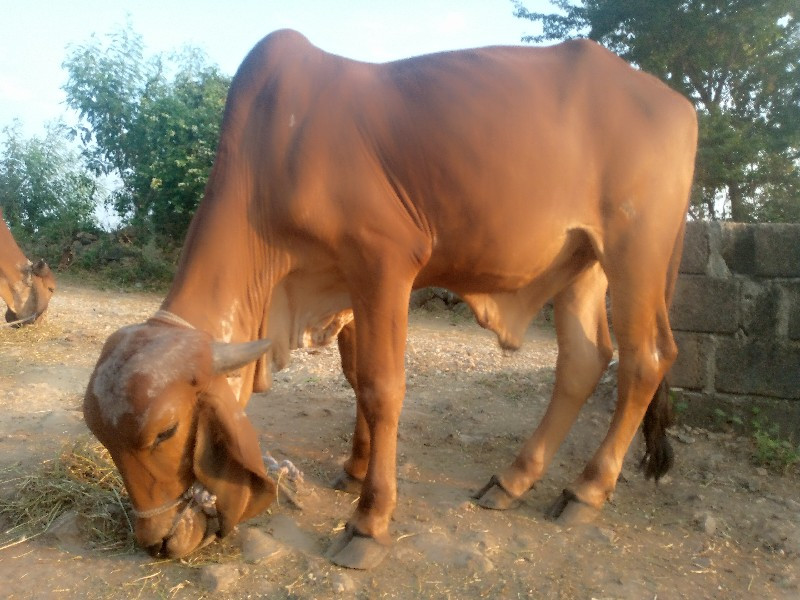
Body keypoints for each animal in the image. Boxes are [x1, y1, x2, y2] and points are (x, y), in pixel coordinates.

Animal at [83, 31, 692, 568]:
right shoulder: (346, 285)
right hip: (581, 262)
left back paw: (586, 490)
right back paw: (514, 480)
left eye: (165, 432)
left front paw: (368, 521)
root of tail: (679, 104)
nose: (157, 540)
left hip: (634, 250)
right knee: (584, 361)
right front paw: (353, 468)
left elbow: (381, 389)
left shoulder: (383, 262)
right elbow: (355, 379)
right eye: (103, 440)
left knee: (646, 360)